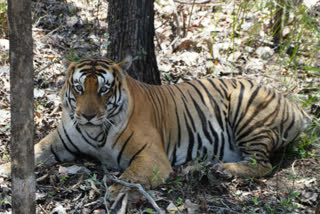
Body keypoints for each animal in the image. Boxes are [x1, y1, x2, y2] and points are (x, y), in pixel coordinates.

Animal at [0, 55, 312, 197]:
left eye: (103, 90)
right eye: (78, 88)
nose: (87, 115)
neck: (95, 132)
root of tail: (293, 104)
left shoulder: (152, 157)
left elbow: (128, 178)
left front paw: (113, 194)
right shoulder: (59, 141)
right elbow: (31, 151)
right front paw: (5, 169)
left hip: (246, 109)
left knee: (263, 164)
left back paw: (223, 169)